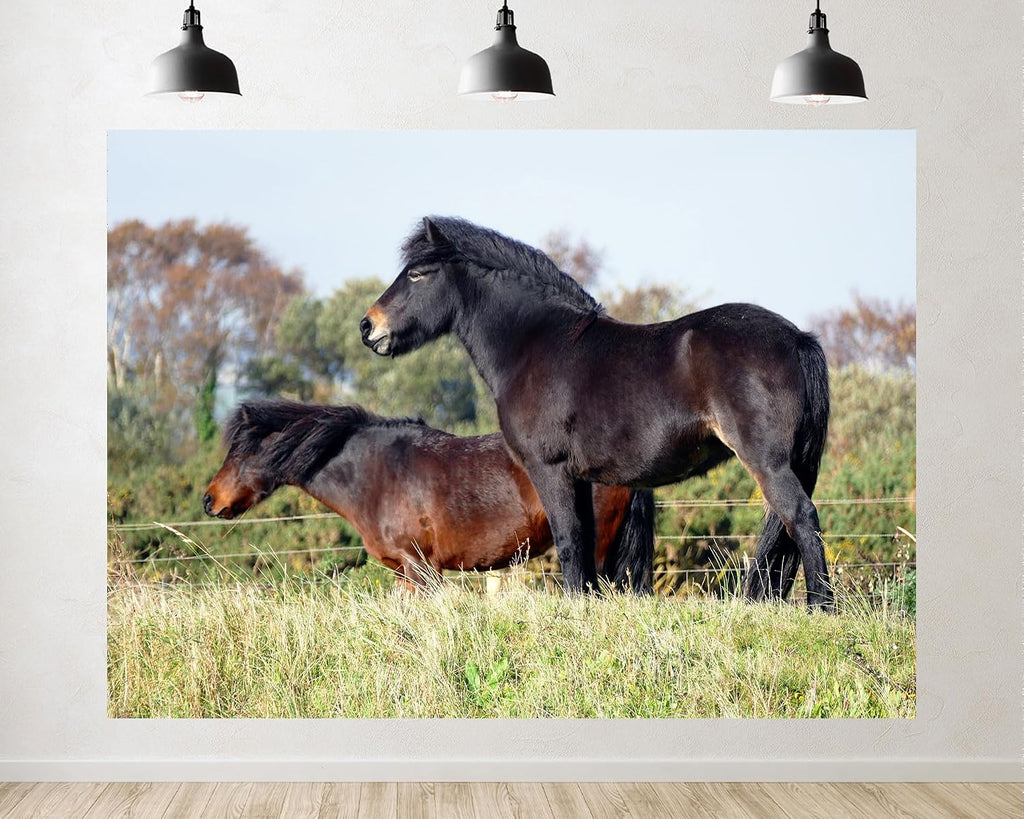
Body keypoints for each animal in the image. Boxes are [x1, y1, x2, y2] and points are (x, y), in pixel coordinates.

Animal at [360, 216, 833, 610]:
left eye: (418, 273)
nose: (368, 326)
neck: (536, 345)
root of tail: (797, 338)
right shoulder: (582, 478)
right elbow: (585, 546)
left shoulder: (550, 469)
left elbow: (569, 541)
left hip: (768, 463)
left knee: (802, 518)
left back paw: (822, 607)